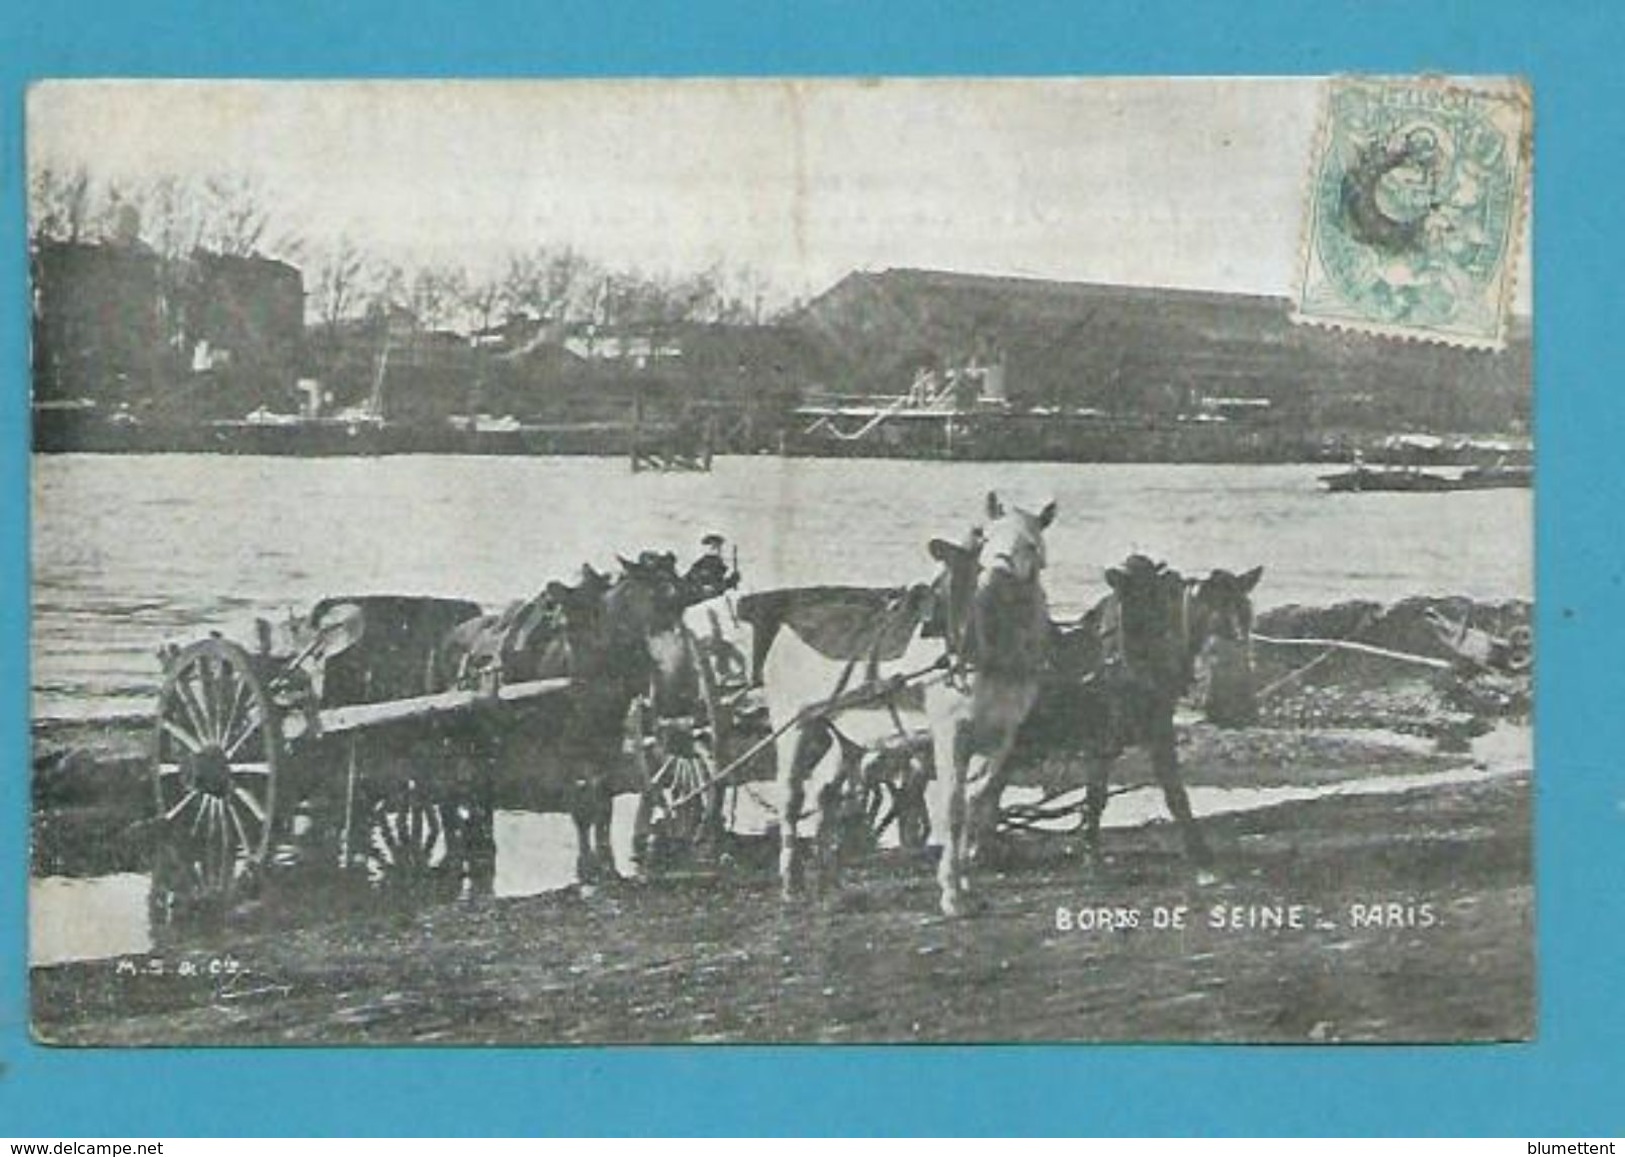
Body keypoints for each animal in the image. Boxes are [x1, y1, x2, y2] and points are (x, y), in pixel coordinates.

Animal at [744, 494, 1053, 916]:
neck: (984, 645)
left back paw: (831, 886)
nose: (1003, 571)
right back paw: (792, 884)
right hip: (794, 724)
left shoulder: (1001, 736)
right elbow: (952, 808)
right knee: (791, 798)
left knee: (826, 793)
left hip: (847, 735)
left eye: (1032, 544)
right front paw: (951, 893)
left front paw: (967, 885)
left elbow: (975, 805)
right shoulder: (949, 732)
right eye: (987, 538)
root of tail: (788, 624)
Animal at [1007, 552, 1261, 877]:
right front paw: (1092, 854)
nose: (1241, 640)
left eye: (1244, 606)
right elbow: (1098, 797)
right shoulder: (1104, 738)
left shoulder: (1155, 731)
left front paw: (1197, 849)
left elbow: (1174, 792)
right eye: (1218, 605)